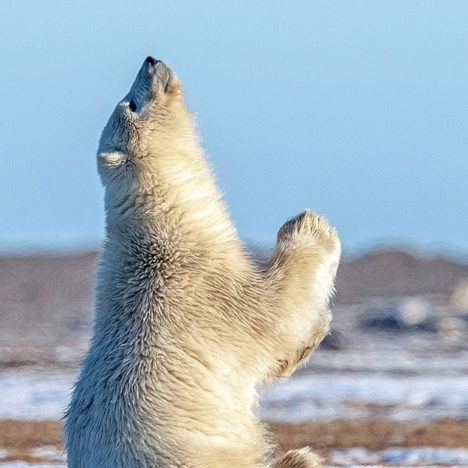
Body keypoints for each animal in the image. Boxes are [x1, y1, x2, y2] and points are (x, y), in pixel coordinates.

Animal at [64, 55, 340, 468]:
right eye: (132, 103)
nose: (150, 60)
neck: (166, 221)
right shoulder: (203, 286)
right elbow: (275, 309)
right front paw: (311, 226)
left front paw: (318, 330)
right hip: (197, 455)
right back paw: (300, 458)